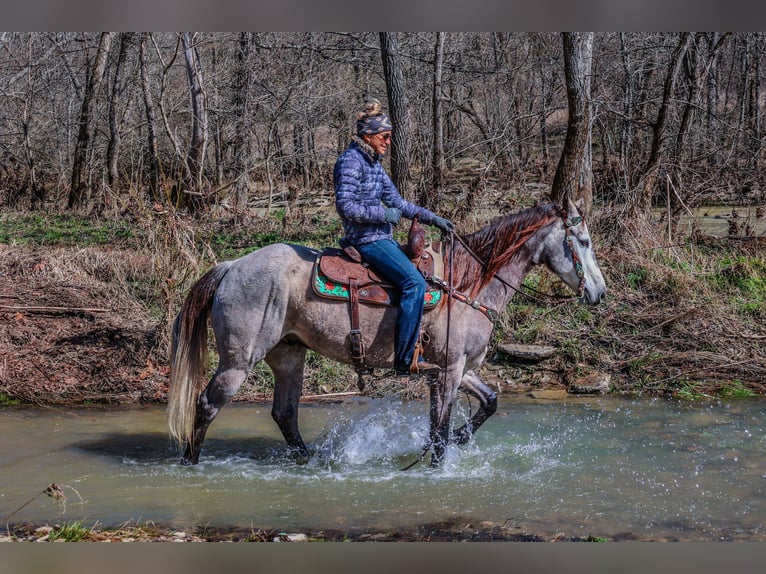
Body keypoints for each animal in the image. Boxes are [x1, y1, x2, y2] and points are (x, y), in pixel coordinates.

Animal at [166, 201, 608, 468]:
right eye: (583, 241)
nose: (600, 292)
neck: (467, 286)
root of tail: (232, 266)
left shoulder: (456, 369)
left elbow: (488, 403)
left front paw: (456, 441)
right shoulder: (449, 371)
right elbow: (440, 431)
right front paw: (437, 463)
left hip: (288, 355)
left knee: (285, 414)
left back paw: (310, 462)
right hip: (239, 361)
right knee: (207, 404)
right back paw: (191, 463)